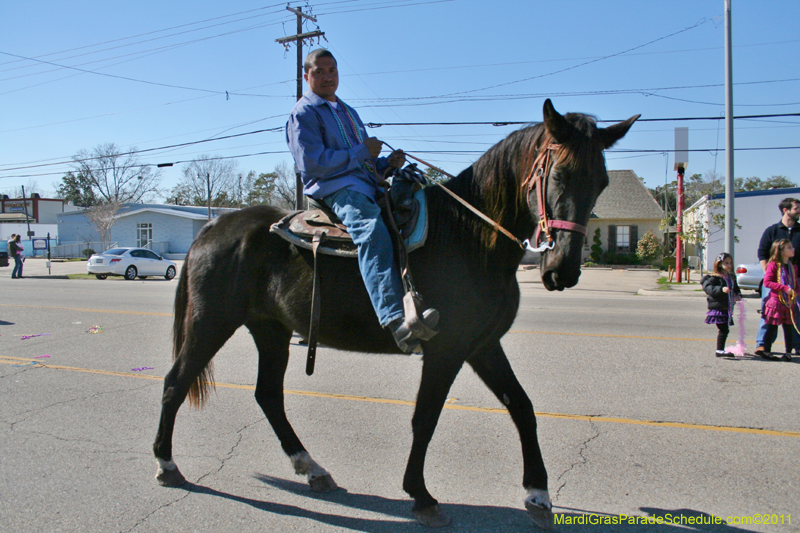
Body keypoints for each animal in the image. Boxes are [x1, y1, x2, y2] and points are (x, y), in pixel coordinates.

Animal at [155, 100, 636, 528]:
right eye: (560, 174)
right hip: (211, 322)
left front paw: (537, 492)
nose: (564, 270)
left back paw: (312, 468)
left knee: (268, 395)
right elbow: (425, 418)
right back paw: (167, 464)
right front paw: (421, 496)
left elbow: (521, 406)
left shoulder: (482, 345)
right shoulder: (446, 349)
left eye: (601, 182)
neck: (470, 236)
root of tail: (213, 227)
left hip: (269, 330)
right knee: (176, 382)